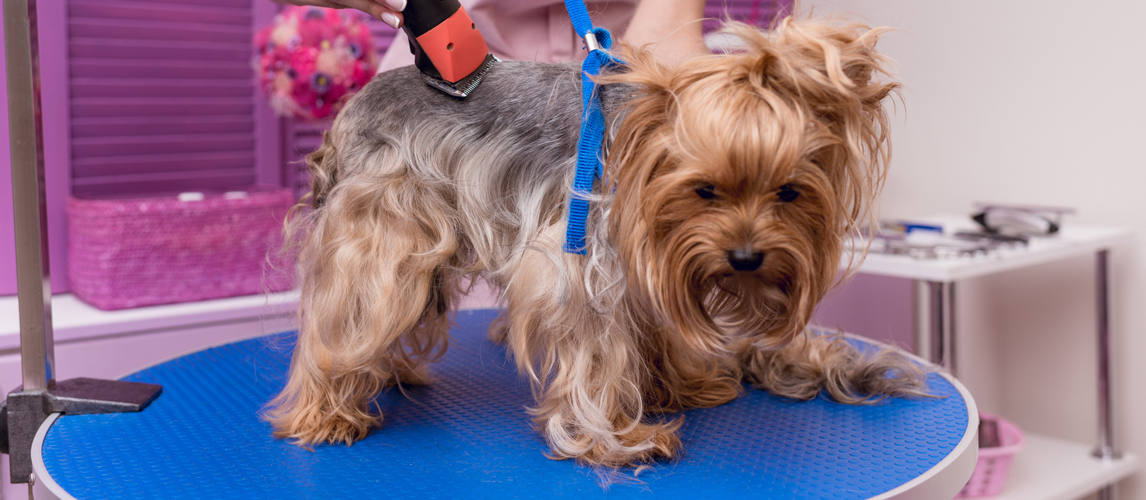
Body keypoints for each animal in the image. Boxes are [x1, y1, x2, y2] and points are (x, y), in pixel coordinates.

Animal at [265, 17, 930, 467]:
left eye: (790, 193)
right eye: (705, 190)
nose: (745, 259)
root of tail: (348, 112)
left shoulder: (655, 260)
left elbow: (654, 329)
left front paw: (681, 388)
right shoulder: (581, 261)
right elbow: (597, 348)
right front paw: (617, 438)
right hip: (382, 231)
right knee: (344, 316)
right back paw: (327, 412)